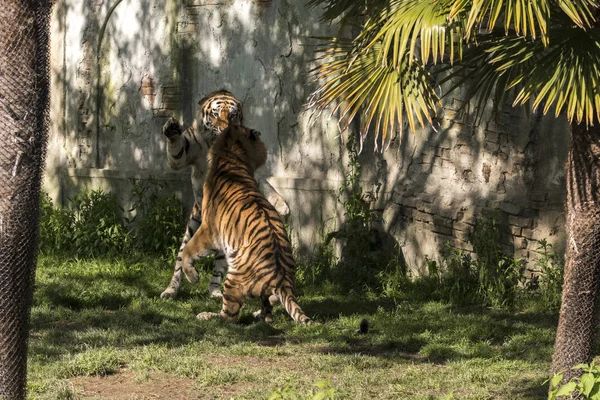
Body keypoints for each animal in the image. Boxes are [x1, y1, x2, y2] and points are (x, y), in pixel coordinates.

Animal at [159, 89, 290, 298]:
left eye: (233, 115)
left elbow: (265, 184)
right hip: (193, 229)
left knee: (219, 267)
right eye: (215, 114)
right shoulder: (184, 155)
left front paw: (281, 206)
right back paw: (171, 290)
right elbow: (177, 152)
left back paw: (215, 291)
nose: (224, 129)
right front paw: (172, 130)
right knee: (181, 259)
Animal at [180, 125, 312, 324]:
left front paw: (193, 277)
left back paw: (206, 315)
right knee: (267, 312)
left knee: (229, 317)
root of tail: (283, 280)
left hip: (233, 279)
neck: (232, 156)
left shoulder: (209, 229)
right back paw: (258, 314)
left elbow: (189, 249)